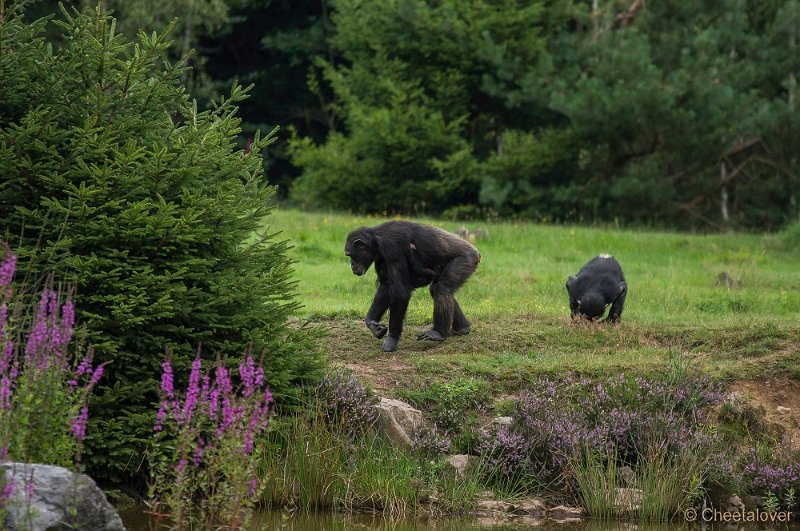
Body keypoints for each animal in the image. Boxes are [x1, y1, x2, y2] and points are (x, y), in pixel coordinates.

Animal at [344, 221, 482, 354]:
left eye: (350, 255)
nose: (351, 264)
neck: (377, 241)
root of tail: (477, 252)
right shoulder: (380, 259)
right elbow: (385, 287)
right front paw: (372, 324)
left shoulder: (392, 249)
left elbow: (400, 292)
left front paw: (392, 339)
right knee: (437, 290)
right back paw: (462, 328)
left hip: (464, 261)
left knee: (442, 288)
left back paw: (439, 333)